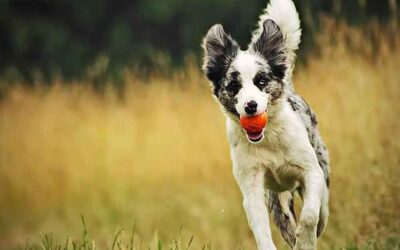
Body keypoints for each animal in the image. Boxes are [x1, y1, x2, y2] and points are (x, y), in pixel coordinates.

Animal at [202, 0, 330, 249]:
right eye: (234, 86)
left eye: (261, 81)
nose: (251, 106)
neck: (268, 137)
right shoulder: (251, 185)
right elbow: (260, 228)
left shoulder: (311, 171)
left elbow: (310, 214)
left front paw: (305, 240)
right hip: (278, 202)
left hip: (322, 175)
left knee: (322, 211)